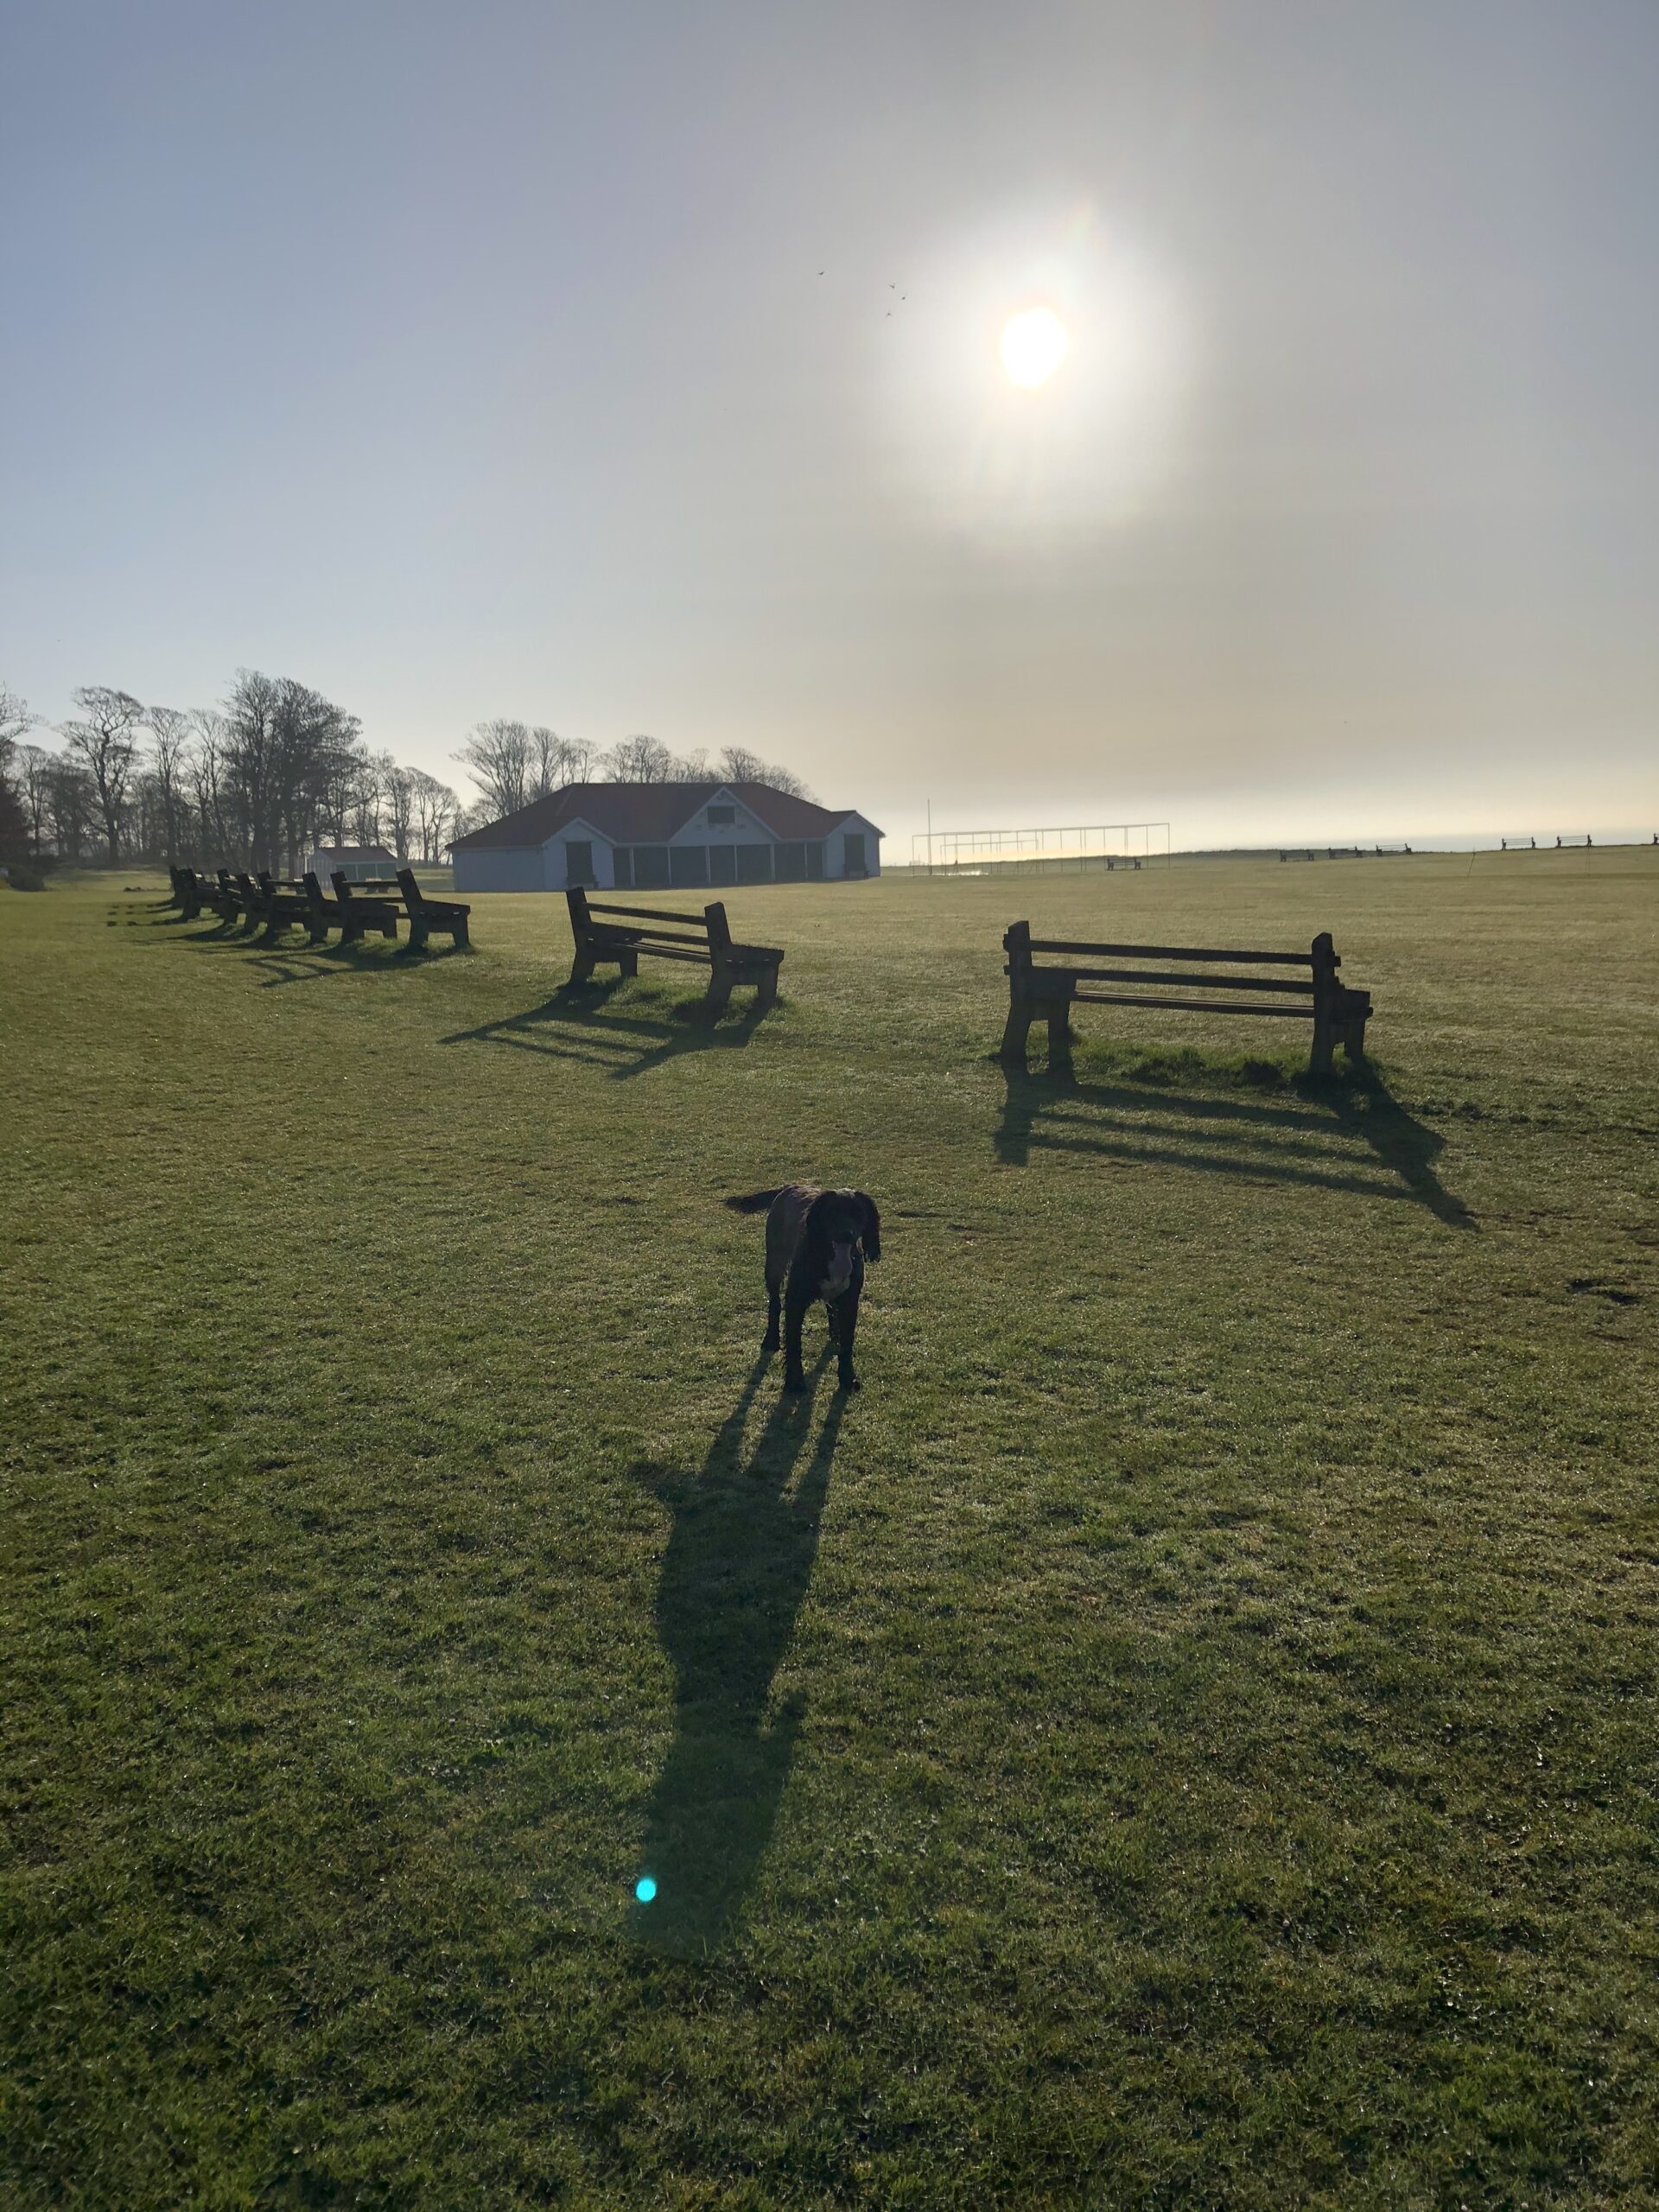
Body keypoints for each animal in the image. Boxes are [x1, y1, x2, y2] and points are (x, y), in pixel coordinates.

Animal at [725, 1185, 885, 1389]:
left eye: (858, 1213)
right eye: (832, 1212)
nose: (846, 1233)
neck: (828, 1254)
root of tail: (790, 1186)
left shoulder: (850, 1301)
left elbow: (847, 1343)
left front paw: (848, 1378)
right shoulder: (795, 1301)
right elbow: (794, 1342)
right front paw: (794, 1382)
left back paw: (835, 1334)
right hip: (774, 1265)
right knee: (774, 1303)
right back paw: (771, 1339)